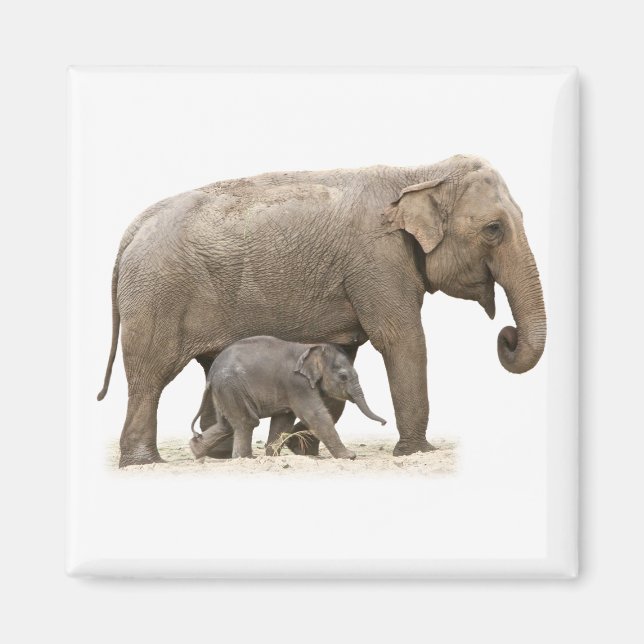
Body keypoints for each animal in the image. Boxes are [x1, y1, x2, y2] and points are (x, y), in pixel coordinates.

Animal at [188, 336, 386, 460]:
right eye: (343, 377)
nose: (384, 423)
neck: (311, 347)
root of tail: (211, 375)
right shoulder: (297, 384)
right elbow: (315, 415)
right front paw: (350, 457)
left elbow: (283, 420)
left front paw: (272, 457)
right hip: (231, 386)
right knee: (247, 421)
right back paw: (245, 458)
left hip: (225, 390)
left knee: (227, 425)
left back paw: (196, 451)